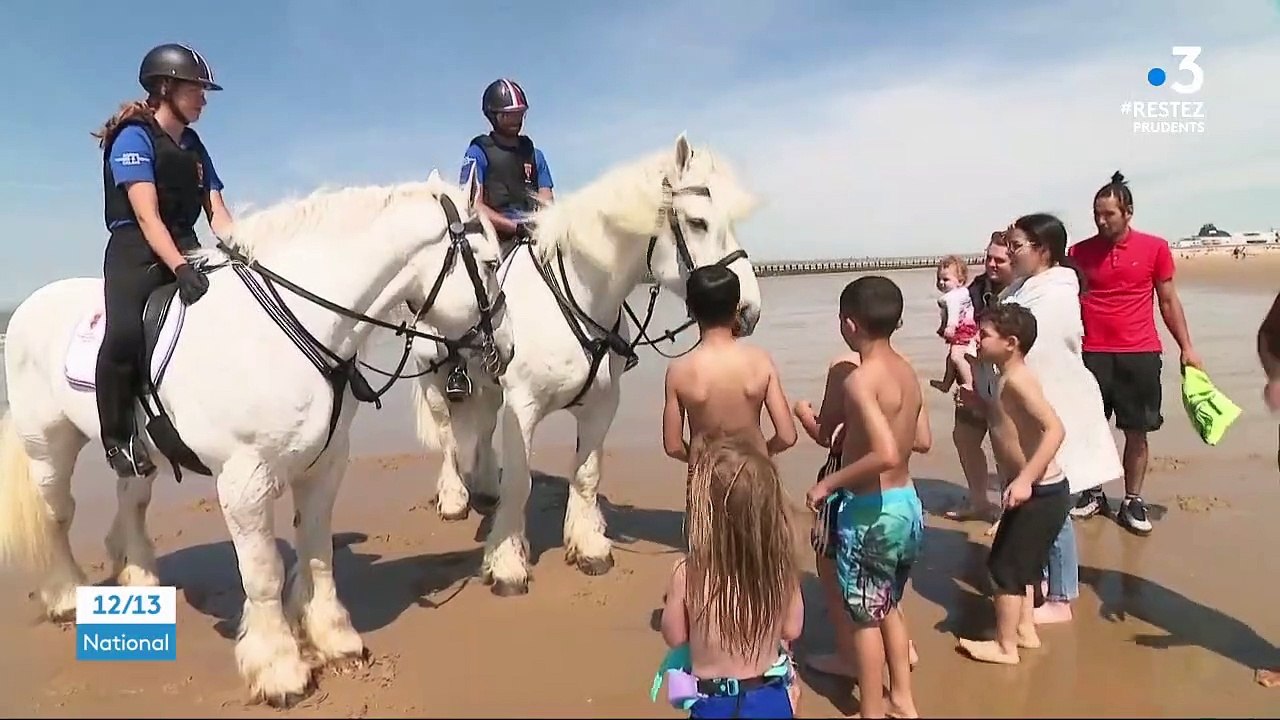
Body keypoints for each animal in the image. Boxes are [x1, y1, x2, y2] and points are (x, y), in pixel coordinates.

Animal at [0, 169, 513, 706]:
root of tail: (27, 307)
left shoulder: (326, 465)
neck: (288, 327)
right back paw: (64, 595)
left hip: (138, 454)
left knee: (131, 499)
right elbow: (263, 573)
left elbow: (318, 552)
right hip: (48, 448)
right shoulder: (244, 481)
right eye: (491, 263)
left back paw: (139, 578)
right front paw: (279, 668)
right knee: (57, 515)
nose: (507, 348)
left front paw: (333, 637)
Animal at [409, 133, 762, 596]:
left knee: (482, 427)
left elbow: (587, 473)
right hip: (434, 375)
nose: (748, 310)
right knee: (448, 434)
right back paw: (454, 497)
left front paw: (589, 546)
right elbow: (520, 481)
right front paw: (506, 563)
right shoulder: (522, 406)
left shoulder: (601, 404)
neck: (576, 294)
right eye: (698, 222)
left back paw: (485, 487)